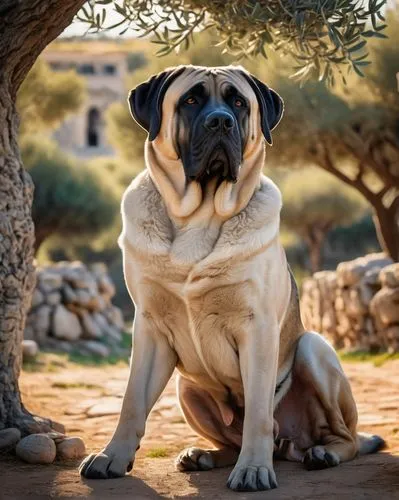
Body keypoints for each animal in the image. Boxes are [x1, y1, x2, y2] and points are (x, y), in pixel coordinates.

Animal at [79, 64, 384, 490]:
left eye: (238, 103)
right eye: (191, 99)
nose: (220, 121)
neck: (199, 215)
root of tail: (290, 445)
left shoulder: (256, 328)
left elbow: (257, 411)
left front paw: (253, 469)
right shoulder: (150, 327)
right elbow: (132, 402)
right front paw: (111, 457)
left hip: (313, 348)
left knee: (345, 435)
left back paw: (322, 453)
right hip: (186, 386)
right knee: (230, 439)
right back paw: (203, 454)